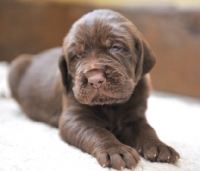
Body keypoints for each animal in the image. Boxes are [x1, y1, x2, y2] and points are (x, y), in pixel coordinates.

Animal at [8, 9, 180, 171]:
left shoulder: (134, 117)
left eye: (115, 48)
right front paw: (116, 150)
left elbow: (147, 129)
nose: (95, 79)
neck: (111, 105)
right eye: (76, 56)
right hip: (16, 66)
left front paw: (159, 146)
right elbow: (97, 131)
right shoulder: (74, 119)